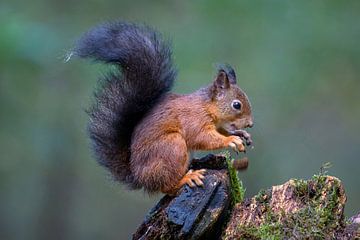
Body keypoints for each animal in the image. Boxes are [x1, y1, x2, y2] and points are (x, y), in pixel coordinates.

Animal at [74, 21, 253, 196]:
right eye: (236, 105)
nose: (250, 124)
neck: (207, 106)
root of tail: (139, 178)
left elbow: (221, 131)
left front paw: (240, 134)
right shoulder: (194, 119)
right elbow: (202, 138)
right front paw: (231, 140)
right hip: (172, 146)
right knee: (167, 187)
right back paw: (187, 178)